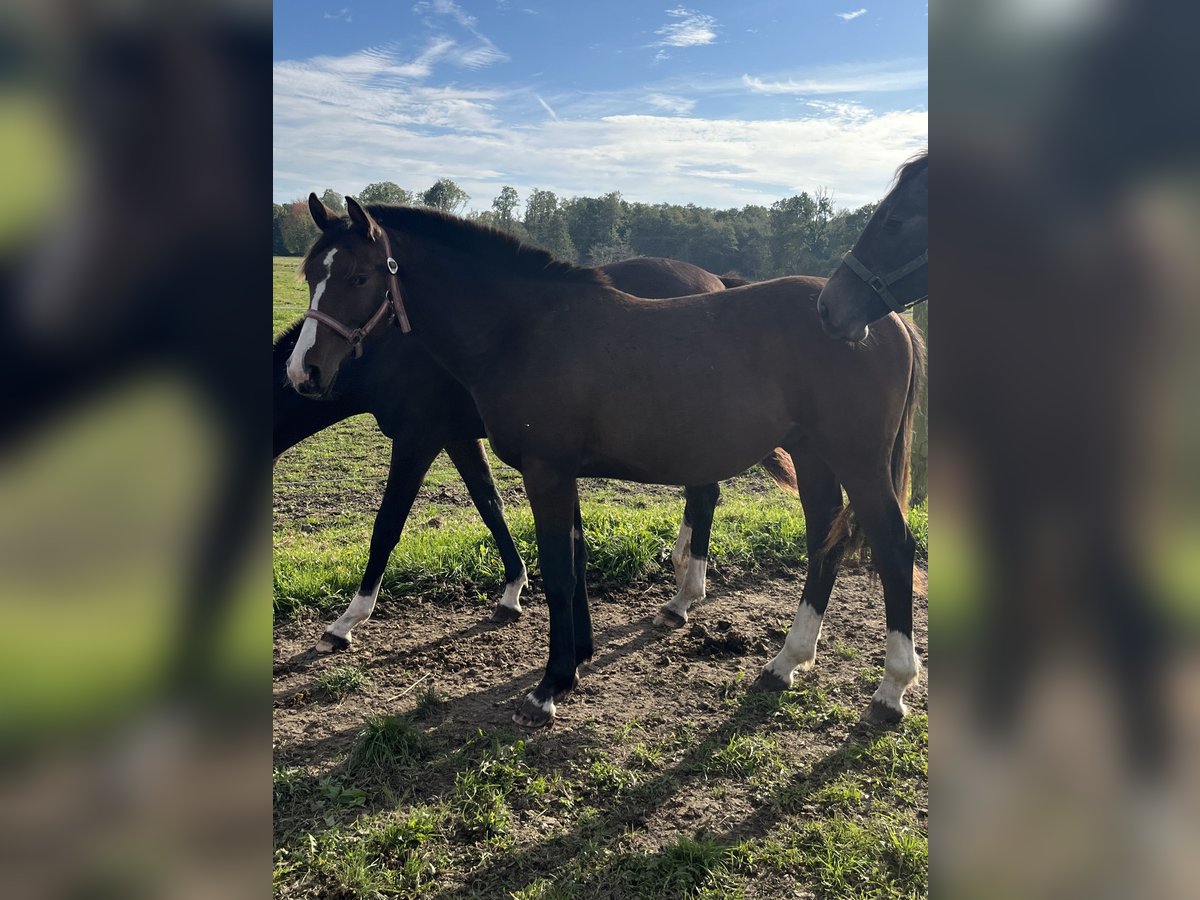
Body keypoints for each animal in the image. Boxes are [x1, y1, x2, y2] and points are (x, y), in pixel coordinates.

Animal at [273, 256, 796, 652]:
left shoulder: (418, 438)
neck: (389, 348)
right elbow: (489, 504)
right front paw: (512, 590)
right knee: (701, 494)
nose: (302, 373)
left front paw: (346, 621)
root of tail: (716, 282)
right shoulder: (458, 437)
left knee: (705, 494)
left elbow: (387, 526)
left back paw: (684, 596)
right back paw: (682, 563)